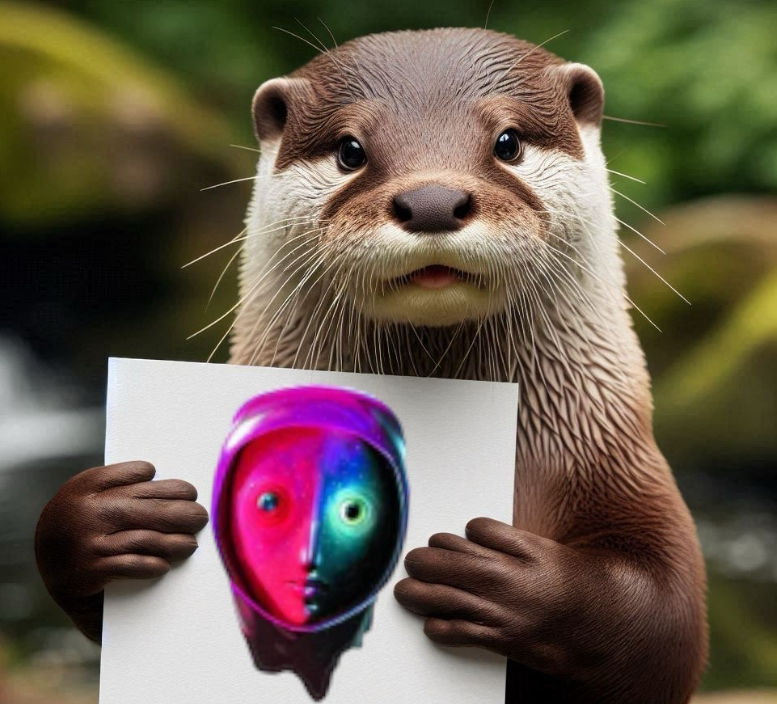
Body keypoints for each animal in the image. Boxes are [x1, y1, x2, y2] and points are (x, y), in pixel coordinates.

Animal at [35, 28, 707, 704]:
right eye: (350, 150)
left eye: (508, 141)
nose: (433, 200)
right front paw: (104, 517)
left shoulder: (620, 465)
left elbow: (663, 624)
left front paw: (512, 582)